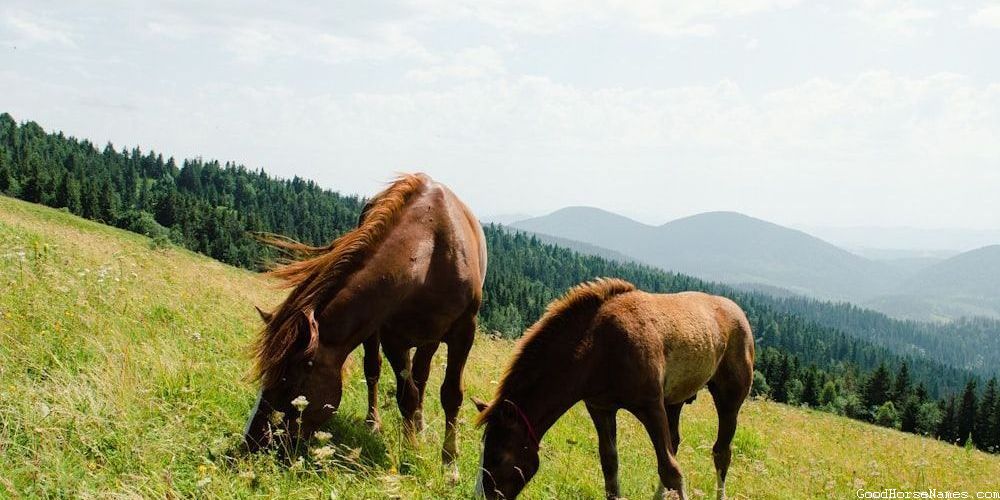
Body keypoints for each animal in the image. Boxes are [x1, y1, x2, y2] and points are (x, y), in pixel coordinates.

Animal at [242, 173, 487, 478]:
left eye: (287, 386)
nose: (252, 442)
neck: (429, 254)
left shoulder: (464, 330)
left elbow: (451, 395)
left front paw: (449, 464)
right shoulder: (393, 336)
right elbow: (405, 395)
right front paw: (412, 450)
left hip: (431, 338)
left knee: (422, 374)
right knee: (376, 370)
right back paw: (376, 422)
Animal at [473, 278, 754, 500]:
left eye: (498, 457)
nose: (481, 495)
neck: (599, 346)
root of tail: (738, 313)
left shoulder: (651, 407)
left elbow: (671, 470)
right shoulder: (600, 407)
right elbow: (610, 465)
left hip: (729, 399)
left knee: (721, 452)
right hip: (674, 402)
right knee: (674, 442)